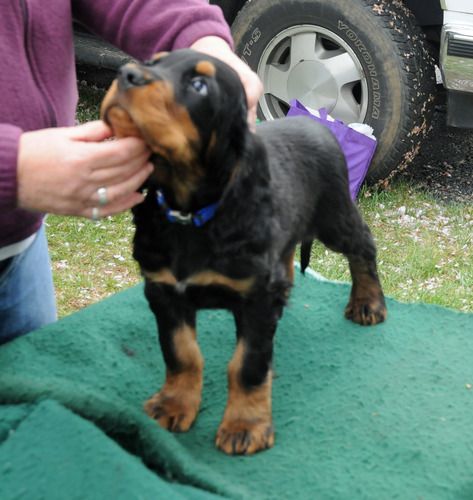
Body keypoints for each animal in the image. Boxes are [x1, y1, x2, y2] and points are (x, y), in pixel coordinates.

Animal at [101, 49, 387, 455]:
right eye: (153, 62)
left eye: (199, 85)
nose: (125, 75)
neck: (190, 215)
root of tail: (318, 122)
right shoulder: (165, 291)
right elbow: (181, 353)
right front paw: (174, 404)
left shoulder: (254, 299)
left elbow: (247, 365)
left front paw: (245, 425)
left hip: (334, 217)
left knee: (363, 245)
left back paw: (368, 304)